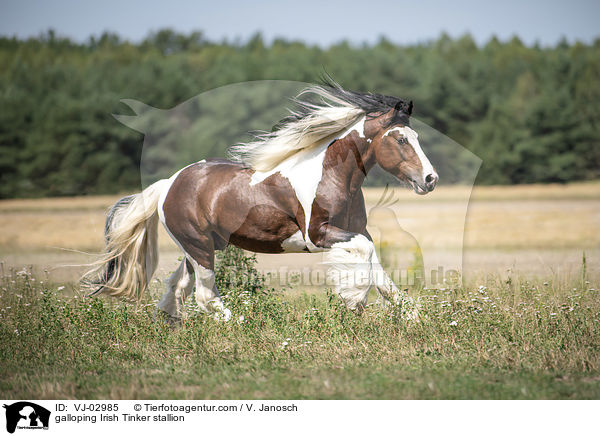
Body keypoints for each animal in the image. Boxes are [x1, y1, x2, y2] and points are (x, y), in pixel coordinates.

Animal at [84, 81, 438, 320]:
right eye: (401, 139)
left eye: (416, 137)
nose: (430, 179)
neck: (332, 174)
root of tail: (169, 184)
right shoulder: (317, 234)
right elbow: (365, 258)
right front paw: (354, 299)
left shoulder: (356, 231)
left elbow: (378, 268)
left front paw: (413, 314)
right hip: (199, 247)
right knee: (204, 295)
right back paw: (242, 323)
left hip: (196, 247)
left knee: (177, 287)